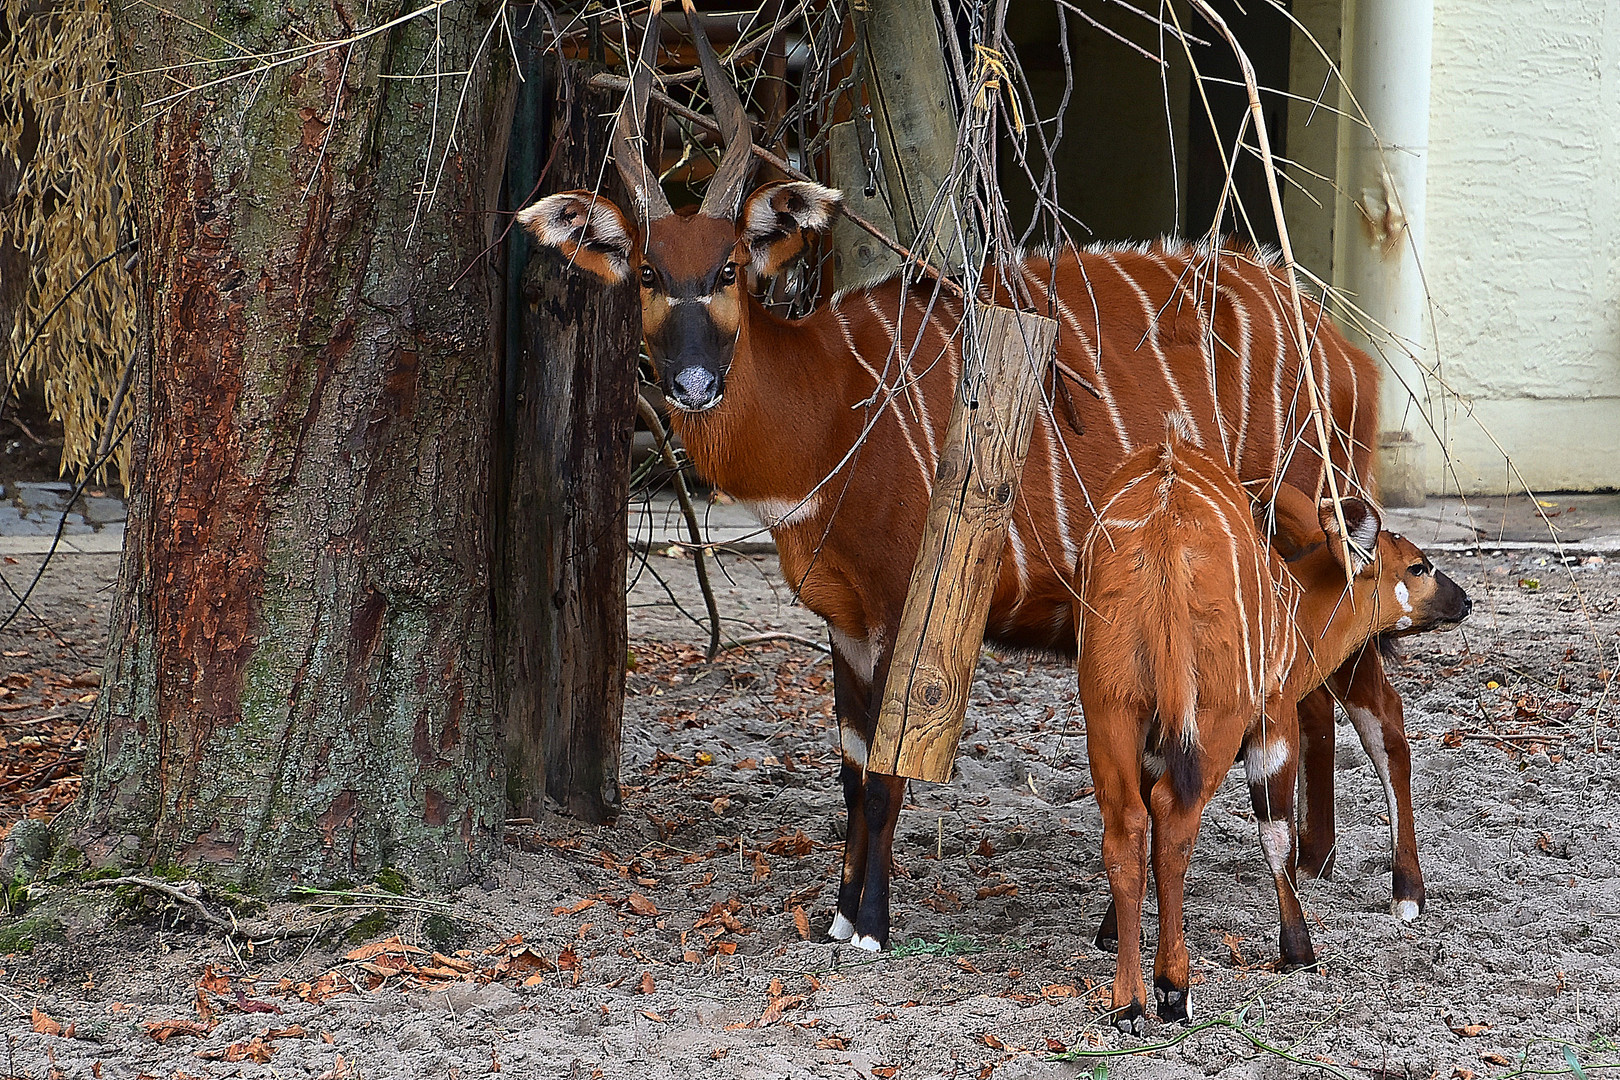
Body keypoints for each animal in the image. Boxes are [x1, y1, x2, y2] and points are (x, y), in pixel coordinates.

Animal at [521, 6, 1432, 952]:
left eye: (729, 268)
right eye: (650, 273)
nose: (694, 384)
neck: (830, 403)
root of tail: (1351, 353)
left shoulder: (903, 607)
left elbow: (886, 773)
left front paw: (872, 926)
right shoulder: (844, 625)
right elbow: (851, 766)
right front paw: (837, 916)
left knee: (1382, 706)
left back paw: (1403, 891)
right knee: (1321, 695)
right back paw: (1317, 863)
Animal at [1075, 433, 1470, 1036]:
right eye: (1419, 566)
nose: (1465, 601)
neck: (1297, 606)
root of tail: (1162, 539)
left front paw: (1108, 932)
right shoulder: (1273, 718)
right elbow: (1276, 832)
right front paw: (1299, 950)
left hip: (1111, 709)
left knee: (1126, 827)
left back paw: (1128, 1002)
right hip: (1214, 718)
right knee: (1175, 816)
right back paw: (1171, 989)